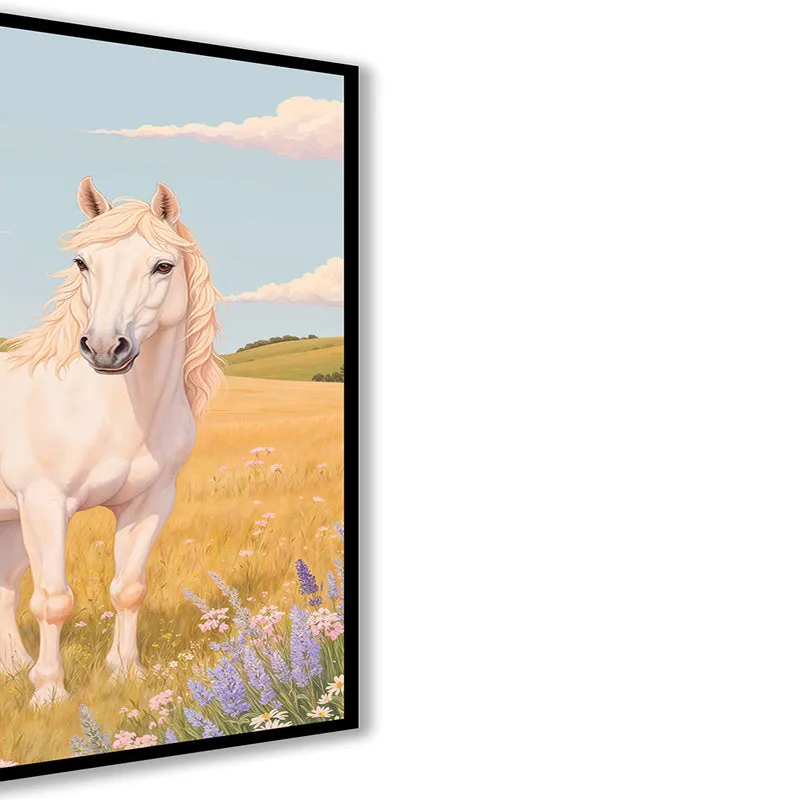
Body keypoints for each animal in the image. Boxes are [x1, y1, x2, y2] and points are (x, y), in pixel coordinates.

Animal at [0, 177, 222, 706]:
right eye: (83, 262)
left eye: (163, 266)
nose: (104, 348)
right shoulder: (45, 505)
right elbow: (53, 601)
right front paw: (49, 694)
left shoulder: (149, 502)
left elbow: (128, 588)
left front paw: (126, 674)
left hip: (10, 521)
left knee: (5, 585)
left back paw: (13, 667)